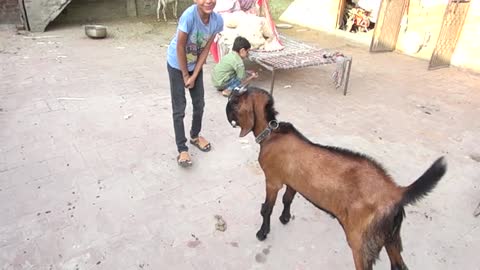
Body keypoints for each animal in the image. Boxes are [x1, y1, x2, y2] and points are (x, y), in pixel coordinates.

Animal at [225, 88, 446, 270]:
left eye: (237, 100)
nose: (228, 98)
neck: (272, 133)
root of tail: (395, 192)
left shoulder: (273, 180)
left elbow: (267, 208)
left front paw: (262, 233)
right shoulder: (292, 181)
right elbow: (287, 199)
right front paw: (285, 218)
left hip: (361, 243)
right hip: (391, 237)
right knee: (399, 265)